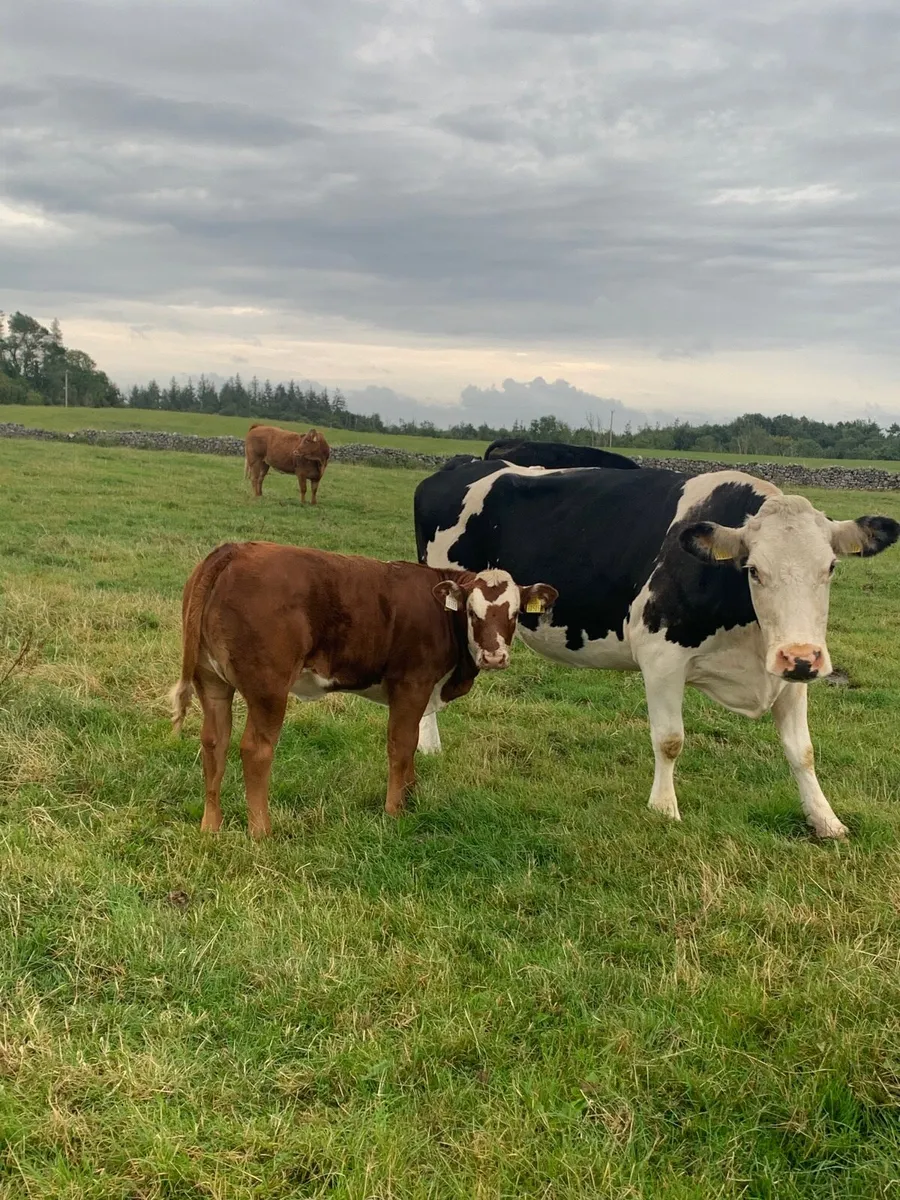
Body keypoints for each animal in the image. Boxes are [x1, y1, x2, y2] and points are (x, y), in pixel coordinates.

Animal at [169, 541, 557, 837]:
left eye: (514, 614)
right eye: (473, 613)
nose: (495, 656)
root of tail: (234, 550)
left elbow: (412, 745)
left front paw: (411, 798)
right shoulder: (412, 684)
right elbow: (402, 745)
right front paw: (395, 810)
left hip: (212, 682)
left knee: (214, 743)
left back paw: (211, 826)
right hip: (269, 688)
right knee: (255, 750)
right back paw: (261, 831)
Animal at [414, 459, 899, 838]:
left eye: (830, 567)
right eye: (754, 569)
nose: (801, 657)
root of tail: (460, 466)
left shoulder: (788, 668)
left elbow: (803, 751)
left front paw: (825, 819)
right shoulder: (661, 656)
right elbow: (669, 740)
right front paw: (664, 808)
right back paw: (426, 746)